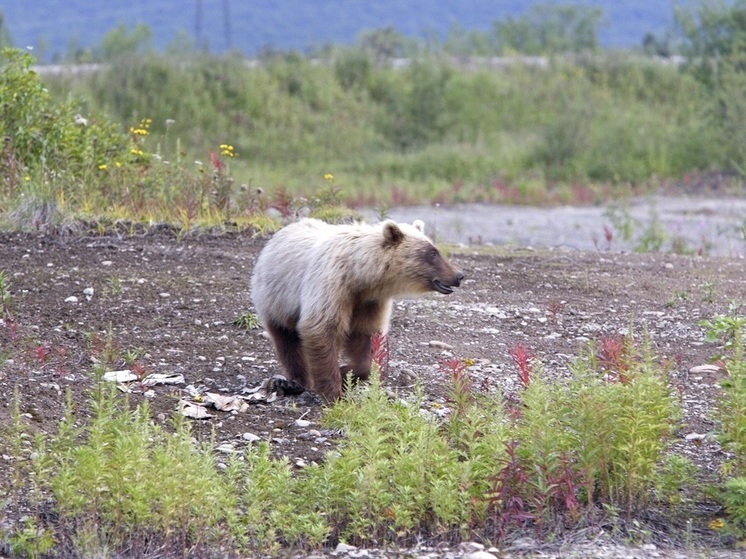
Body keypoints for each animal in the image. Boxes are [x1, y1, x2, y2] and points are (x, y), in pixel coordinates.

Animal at [250, 217, 462, 400]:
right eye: (432, 253)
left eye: (436, 250)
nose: (459, 275)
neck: (359, 275)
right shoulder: (331, 285)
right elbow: (322, 328)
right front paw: (334, 391)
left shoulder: (370, 302)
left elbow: (365, 338)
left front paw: (346, 372)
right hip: (275, 298)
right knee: (287, 340)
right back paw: (294, 382)